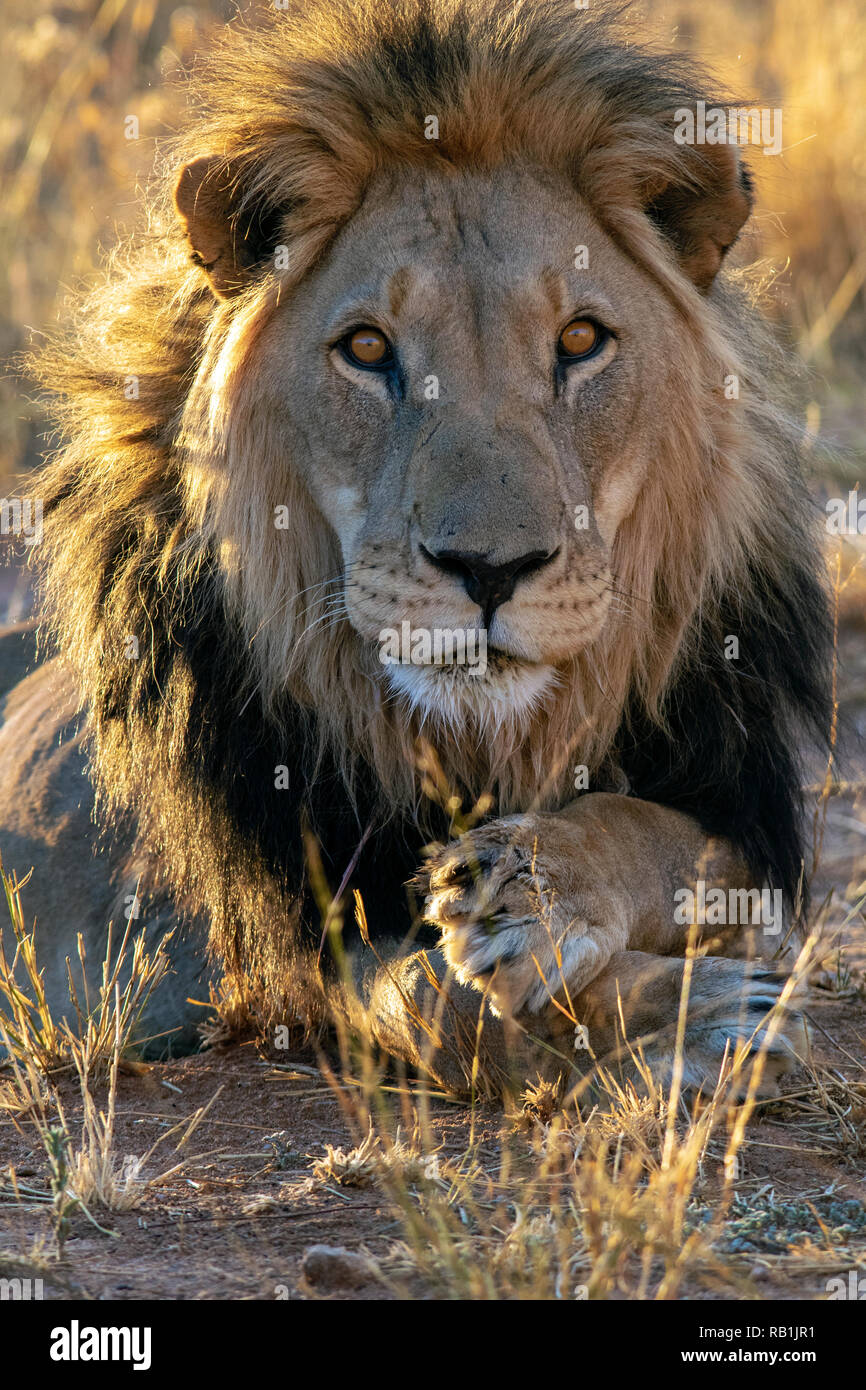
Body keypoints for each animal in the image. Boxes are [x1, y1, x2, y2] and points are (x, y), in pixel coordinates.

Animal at [5, 0, 834, 1095]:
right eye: (366, 349)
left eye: (580, 341)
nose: (488, 571)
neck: (475, 744)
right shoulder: (282, 942)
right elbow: (427, 995)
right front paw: (683, 1015)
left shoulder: (739, 816)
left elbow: (635, 825)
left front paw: (534, 888)